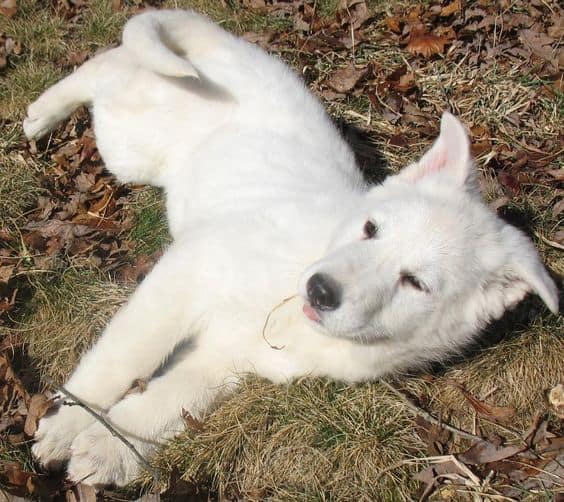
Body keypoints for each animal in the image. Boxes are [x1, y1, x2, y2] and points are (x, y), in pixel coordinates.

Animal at [23, 7, 560, 486]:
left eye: (415, 283)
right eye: (370, 228)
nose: (320, 290)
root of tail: (225, 40)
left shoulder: (228, 360)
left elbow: (169, 399)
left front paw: (111, 448)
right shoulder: (184, 275)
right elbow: (122, 359)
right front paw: (68, 421)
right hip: (130, 145)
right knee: (106, 69)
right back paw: (40, 113)